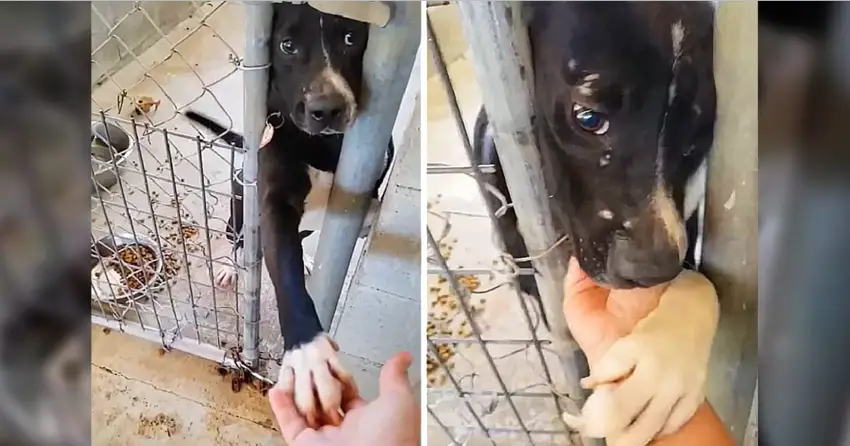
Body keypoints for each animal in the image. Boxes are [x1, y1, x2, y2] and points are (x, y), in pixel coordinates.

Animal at [184, 2, 392, 422]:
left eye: (351, 37)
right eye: (287, 45)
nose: (327, 110)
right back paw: (231, 267)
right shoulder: (273, 207)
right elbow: (286, 273)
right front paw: (310, 354)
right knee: (239, 241)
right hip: (238, 216)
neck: (320, 147)